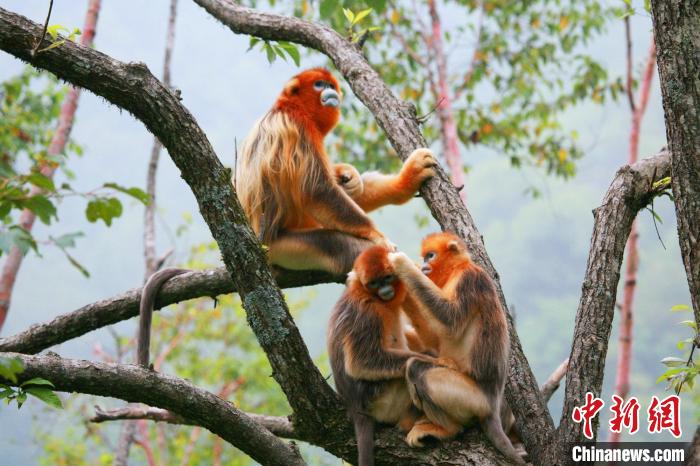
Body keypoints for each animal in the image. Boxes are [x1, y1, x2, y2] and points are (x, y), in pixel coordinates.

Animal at [388, 232, 524, 462]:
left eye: (430, 256)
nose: (424, 265)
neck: (455, 271)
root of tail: (493, 405)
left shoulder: (469, 281)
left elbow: (449, 321)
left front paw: (402, 263)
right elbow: (434, 339)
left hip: (474, 399)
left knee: (419, 370)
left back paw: (447, 429)